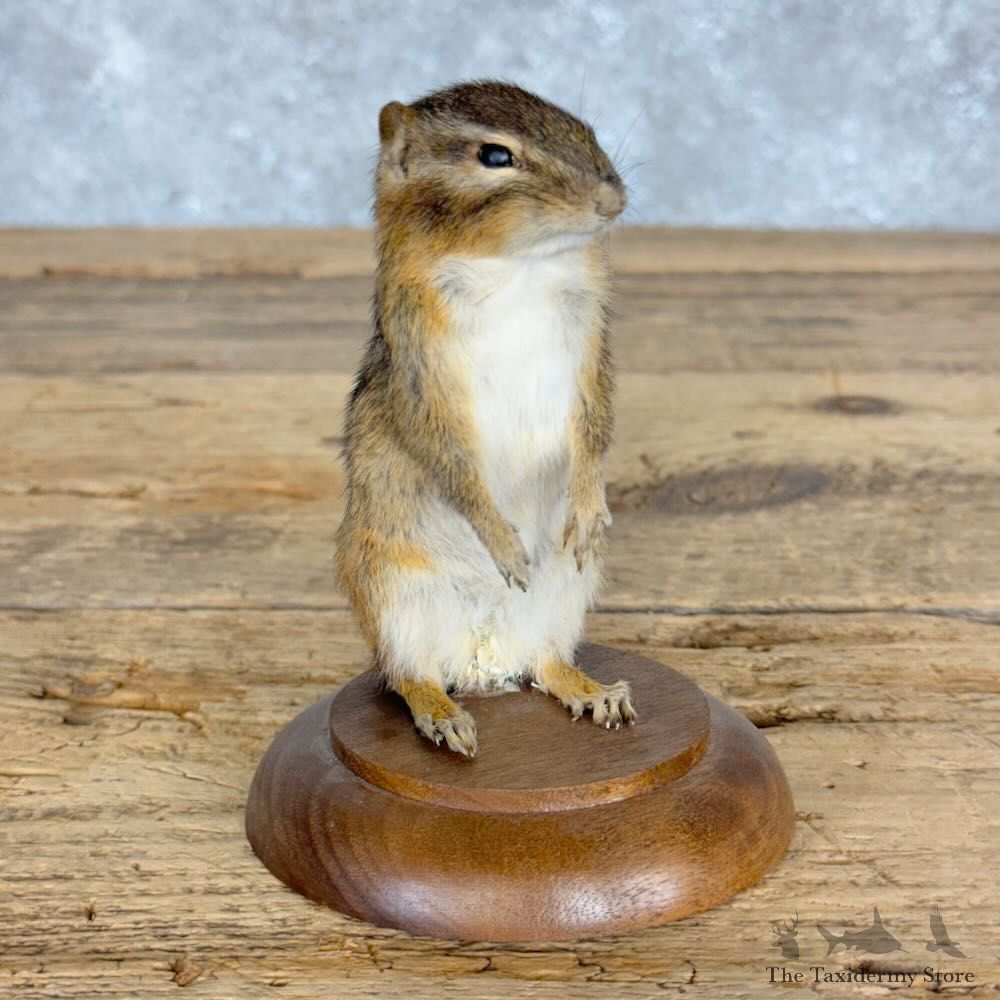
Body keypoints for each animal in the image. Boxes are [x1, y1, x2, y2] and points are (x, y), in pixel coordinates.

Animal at [335, 80, 635, 756]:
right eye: (494, 156)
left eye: (582, 127)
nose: (612, 199)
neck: (518, 268)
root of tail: (482, 666)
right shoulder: (423, 373)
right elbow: (448, 456)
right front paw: (501, 541)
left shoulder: (591, 347)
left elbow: (596, 424)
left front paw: (588, 506)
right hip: (392, 596)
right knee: (407, 675)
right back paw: (443, 715)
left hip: (566, 594)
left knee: (546, 664)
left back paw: (594, 692)